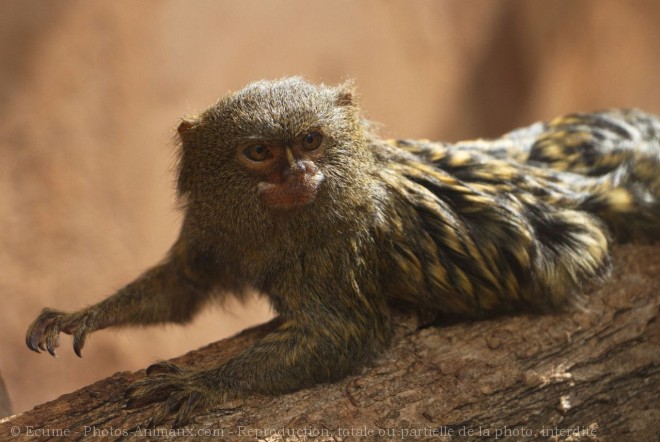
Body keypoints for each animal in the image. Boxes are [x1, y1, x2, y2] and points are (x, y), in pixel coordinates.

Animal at [25, 77, 660, 426]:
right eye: (259, 152)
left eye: (310, 140)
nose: (299, 172)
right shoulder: (214, 227)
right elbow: (181, 289)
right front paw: (83, 314)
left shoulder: (340, 249)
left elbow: (345, 334)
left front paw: (204, 383)